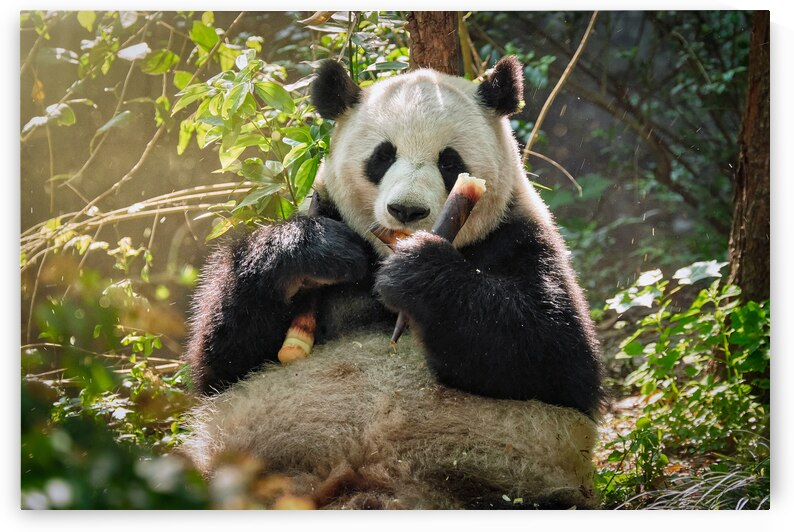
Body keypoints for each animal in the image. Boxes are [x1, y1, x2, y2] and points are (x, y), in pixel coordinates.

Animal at [180, 56, 604, 509]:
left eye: (449, 161)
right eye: (382, 156)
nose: (407, 211)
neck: (382, 255)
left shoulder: (521, 239)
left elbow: (556, 358)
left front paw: (419, 273)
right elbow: (223, 360)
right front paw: (313, 250)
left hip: (515, 475)